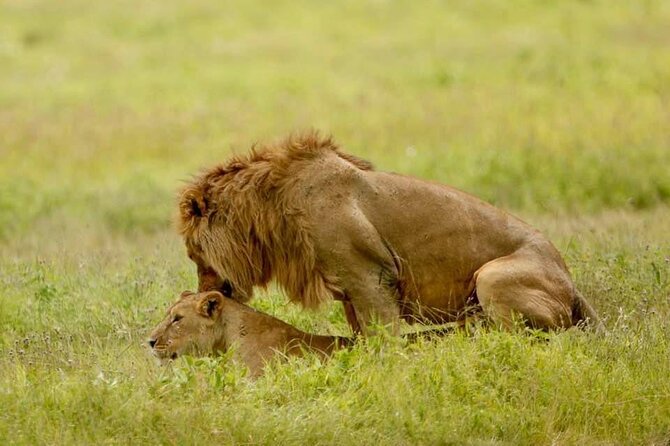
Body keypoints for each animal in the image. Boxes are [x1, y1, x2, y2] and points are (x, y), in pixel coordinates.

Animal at [177, 132, 602, 335]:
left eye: (194, 254)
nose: (204, 293)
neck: (271, 210)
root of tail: (569, 281)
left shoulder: (370, 278)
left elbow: (385, 337)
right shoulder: (350, 291)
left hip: (493, 276)